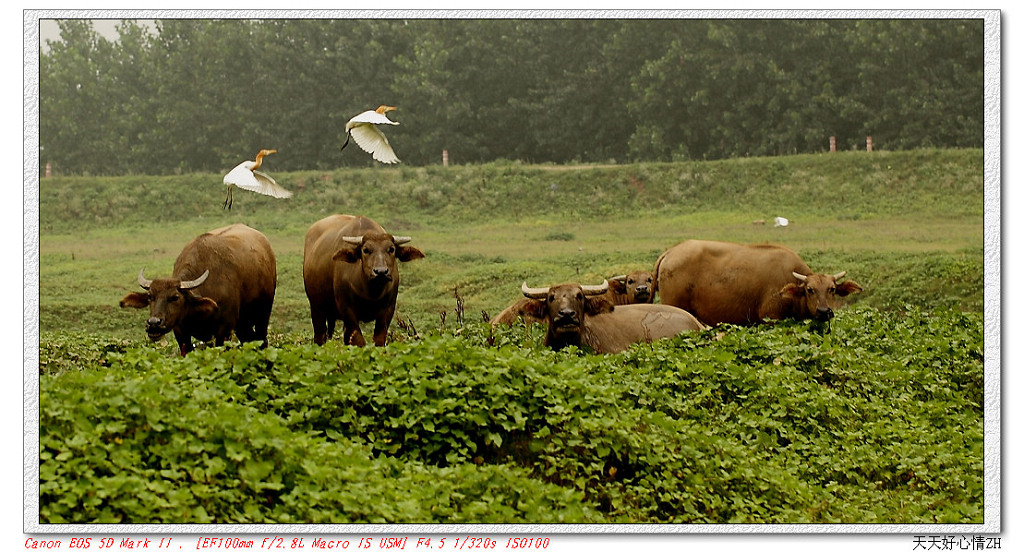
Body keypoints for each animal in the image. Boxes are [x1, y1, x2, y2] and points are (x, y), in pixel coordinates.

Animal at [118, 223, 278, 356]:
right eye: (150, 296)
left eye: (175, 297)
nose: (153, 323)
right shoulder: (180, 331)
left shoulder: (224, 330)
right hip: (243, 322)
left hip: (264, 313)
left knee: (262, 339)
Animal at [299, 215, 423, 346]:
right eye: (365, 250)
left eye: (391, 249)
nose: (381, 272)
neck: (371, 292)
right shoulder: (346, 308)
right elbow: (359, 341)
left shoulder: (389, 308)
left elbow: (379, 339)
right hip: (316, 307)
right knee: (320, 336)